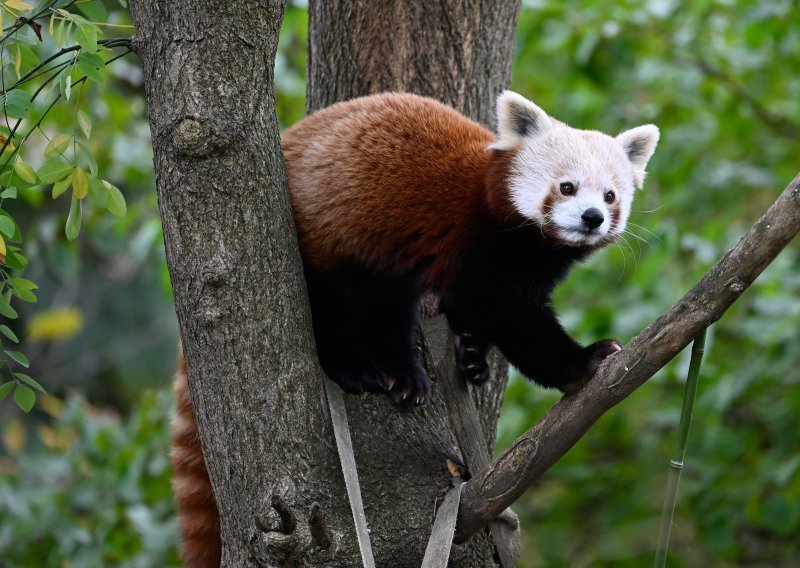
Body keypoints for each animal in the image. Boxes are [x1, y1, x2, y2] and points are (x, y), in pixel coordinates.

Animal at [172, 93, 660, 564]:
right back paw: (355, 369)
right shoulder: (480, 248)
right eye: (567, 187)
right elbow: (511, 318)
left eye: (611, 195)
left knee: (387, 310)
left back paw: (405, 374)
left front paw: (473, 356)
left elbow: (475, 316)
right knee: (330, 308)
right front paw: (583, 362)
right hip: (322, 236)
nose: (592, 217)